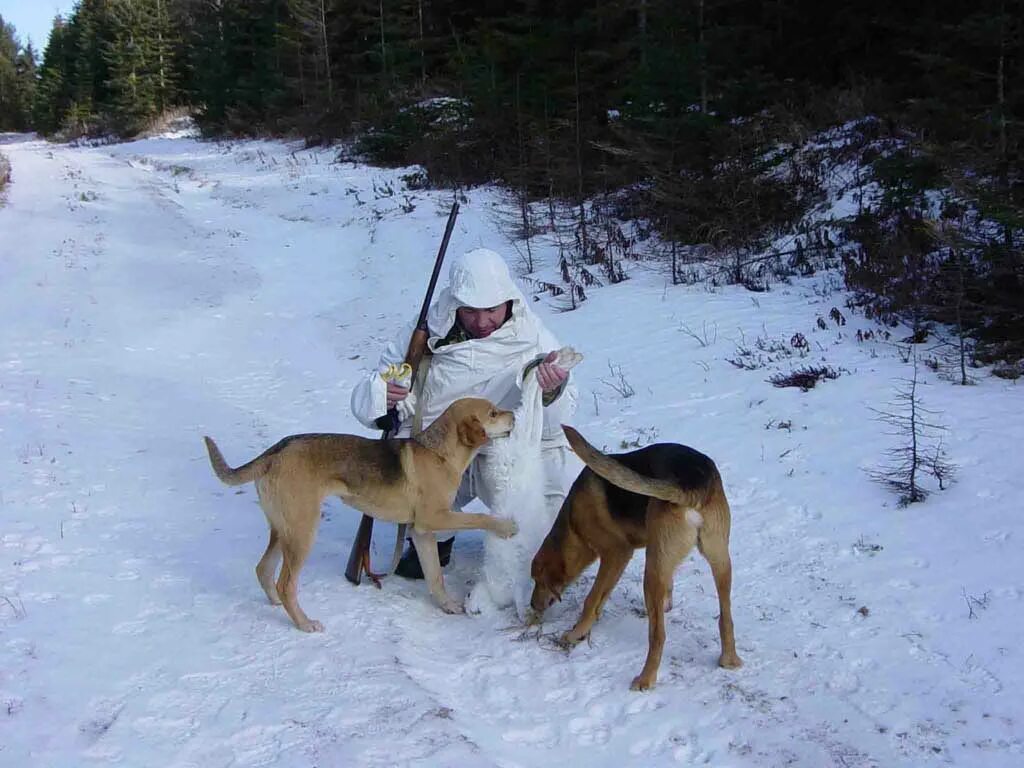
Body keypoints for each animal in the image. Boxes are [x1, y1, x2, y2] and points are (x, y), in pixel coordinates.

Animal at [202, 397, 516, 630]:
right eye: (492, 413)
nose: (514, 415)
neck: (439, 453)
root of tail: (275, 452)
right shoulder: (435, 518)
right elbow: (479, 519)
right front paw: (506, 527)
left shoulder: (422, 531)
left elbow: (435, 576)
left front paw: (447, 605)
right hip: (303, 531)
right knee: (285, 584)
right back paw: (304, 623)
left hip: (284, 529)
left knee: (263, 569)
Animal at [532, 423, 741, 696]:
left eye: (536, 580)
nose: (532, 605)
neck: (572, 525)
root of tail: (691, 487)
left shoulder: (617, 553)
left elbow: (592, 601)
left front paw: (576, 633)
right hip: (718, 560)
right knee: (726, 618)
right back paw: (729, 660)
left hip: (652, 571)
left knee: (658, 636)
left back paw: (645, 678)